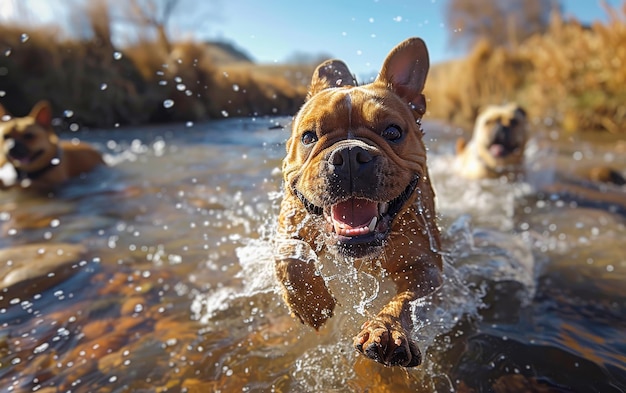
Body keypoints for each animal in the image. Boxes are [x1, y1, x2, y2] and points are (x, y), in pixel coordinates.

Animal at [272, 38, 438, 366]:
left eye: (393, 132)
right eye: (308, 137)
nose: (349, 154)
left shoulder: (426, 267)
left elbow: (405, 300)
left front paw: (387, 330)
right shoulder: (289, 221)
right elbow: (289, 257)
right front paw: (312, 302)